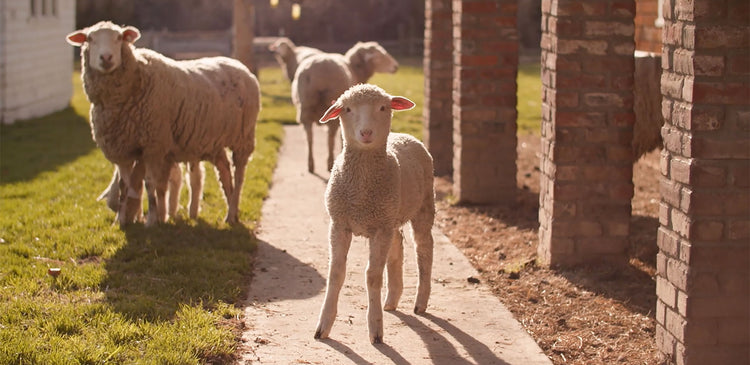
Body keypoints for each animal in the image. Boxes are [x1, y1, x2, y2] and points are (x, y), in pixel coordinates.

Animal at [67, 21, 262, 226]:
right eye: (90, 38)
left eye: (119, 38)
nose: (106, 58)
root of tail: (238, 64)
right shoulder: (122, 150)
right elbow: (124, 186)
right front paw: (121, 220)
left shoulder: (153, 146)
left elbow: (150, 183)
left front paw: (152, 219)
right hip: (214, 141)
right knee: (224, 172)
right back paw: (232, 211)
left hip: (243, 137)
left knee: (239, 176)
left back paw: (231, 212)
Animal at [292, 42, 400, 173]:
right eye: (379, 55)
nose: (396, 67)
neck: (354, 69)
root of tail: (317, 72)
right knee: (330, 138)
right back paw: (329, 162)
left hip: (305, 108)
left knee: (309, 138)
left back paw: (310, 164)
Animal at [316, 84, 434, 342]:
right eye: (347, 109)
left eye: (382, 107)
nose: (366, 133)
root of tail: (404, 135)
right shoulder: (340, 224)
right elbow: (336, 273)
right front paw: (323, 326)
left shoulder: (380, 229)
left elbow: (373, 276)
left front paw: (375, 328)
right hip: (391, 216)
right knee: (397, 246)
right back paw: (392, 300)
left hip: (423, 207)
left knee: (424, 250)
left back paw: (420, 303)